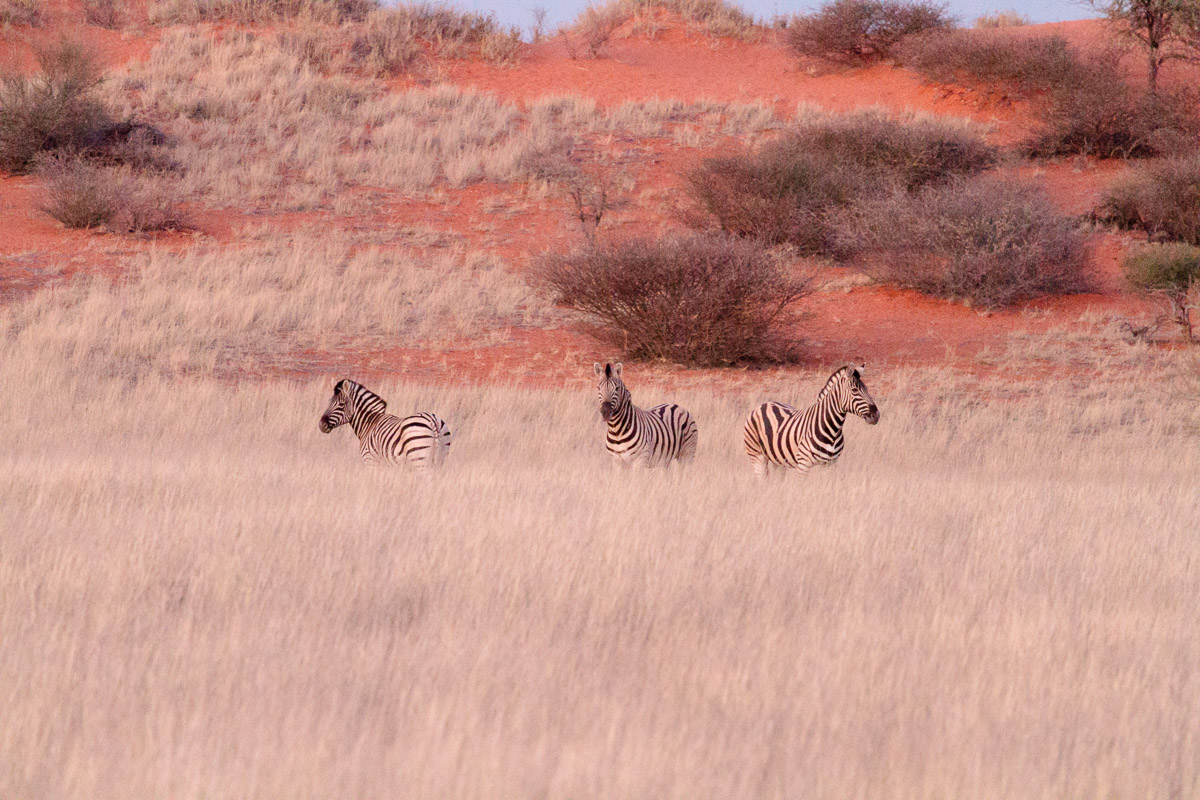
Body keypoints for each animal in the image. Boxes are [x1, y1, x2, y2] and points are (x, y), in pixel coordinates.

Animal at [319, 379, 452, 468]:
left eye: (341, 404)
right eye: (329, 401)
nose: (321, 425)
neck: (369, 423)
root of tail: (432, 421)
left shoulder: (370, 460)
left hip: (419, 458)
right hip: (441, 457)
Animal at [743, 363, 879, 476]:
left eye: (867, 390)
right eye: (855, 390)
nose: (876, 415)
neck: (833, 430)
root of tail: (764, 404)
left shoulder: (831, 463)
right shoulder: (803, 464)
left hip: (778, 460)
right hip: (757, 456)